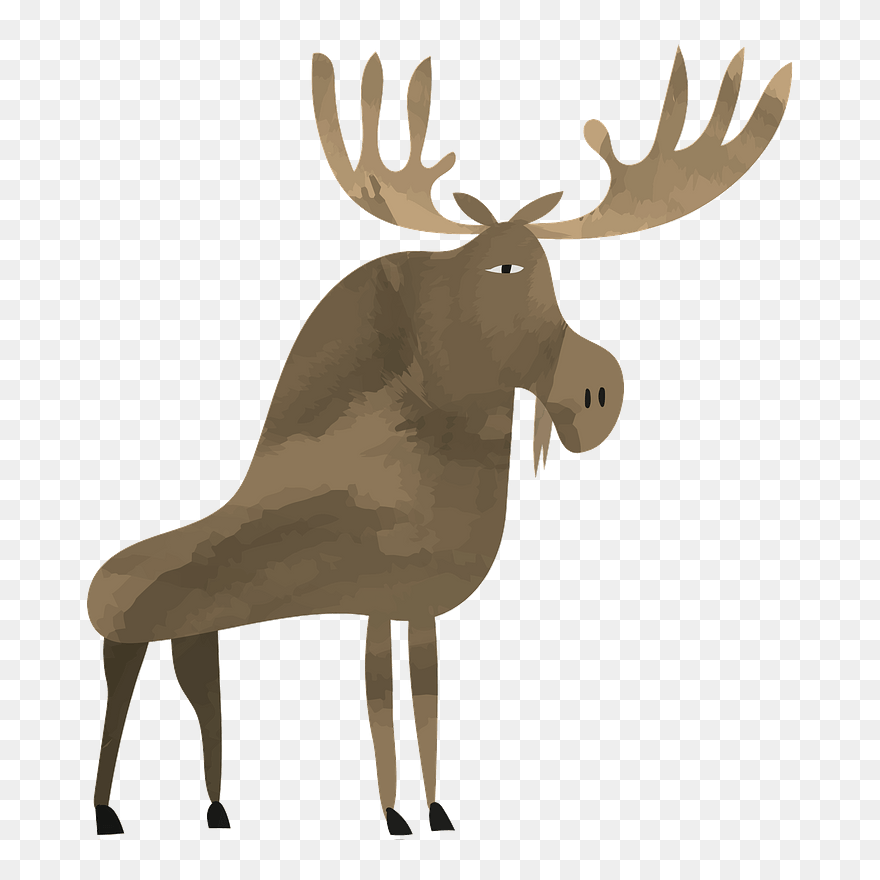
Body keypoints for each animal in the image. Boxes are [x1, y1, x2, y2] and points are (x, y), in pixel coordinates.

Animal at [87, 49, 792, 836]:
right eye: (507, 267)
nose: (599, 393)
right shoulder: (381, 595)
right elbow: (383, 698)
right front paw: (397, 813)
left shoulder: (409, 603)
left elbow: (420, 696)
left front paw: (428, 808)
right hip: (129, 638)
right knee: (122, 698)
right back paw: (106, 809)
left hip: (188, 630)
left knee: (199, 691)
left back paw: (214, 806)